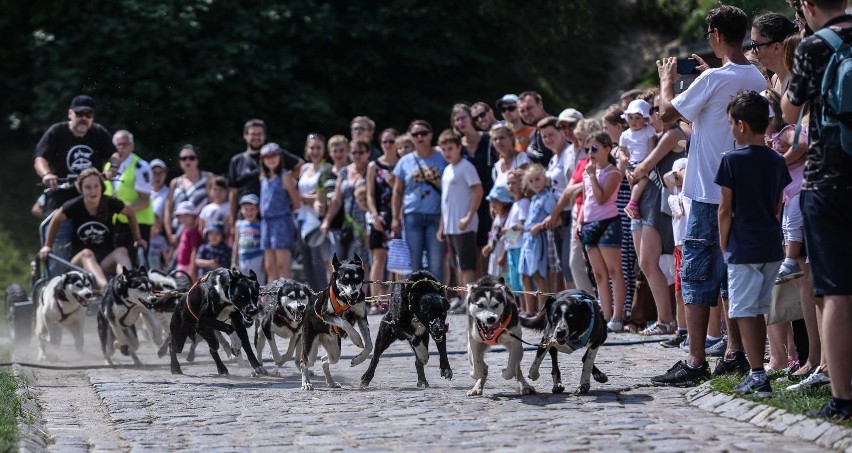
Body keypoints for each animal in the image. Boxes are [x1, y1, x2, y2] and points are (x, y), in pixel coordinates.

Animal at [298, 254, 368, 388]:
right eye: (344, 279)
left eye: (358, 278)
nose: (354, 294)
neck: (345, 301)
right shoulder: (326, 315)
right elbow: (345, 323)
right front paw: (356, 338)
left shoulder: (362, 317)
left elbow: (369, 346)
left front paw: (358, 359)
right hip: (310, 352)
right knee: (304, 363)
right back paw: (306, 383)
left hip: (334, 350)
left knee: (324, 360)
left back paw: (331, 382)